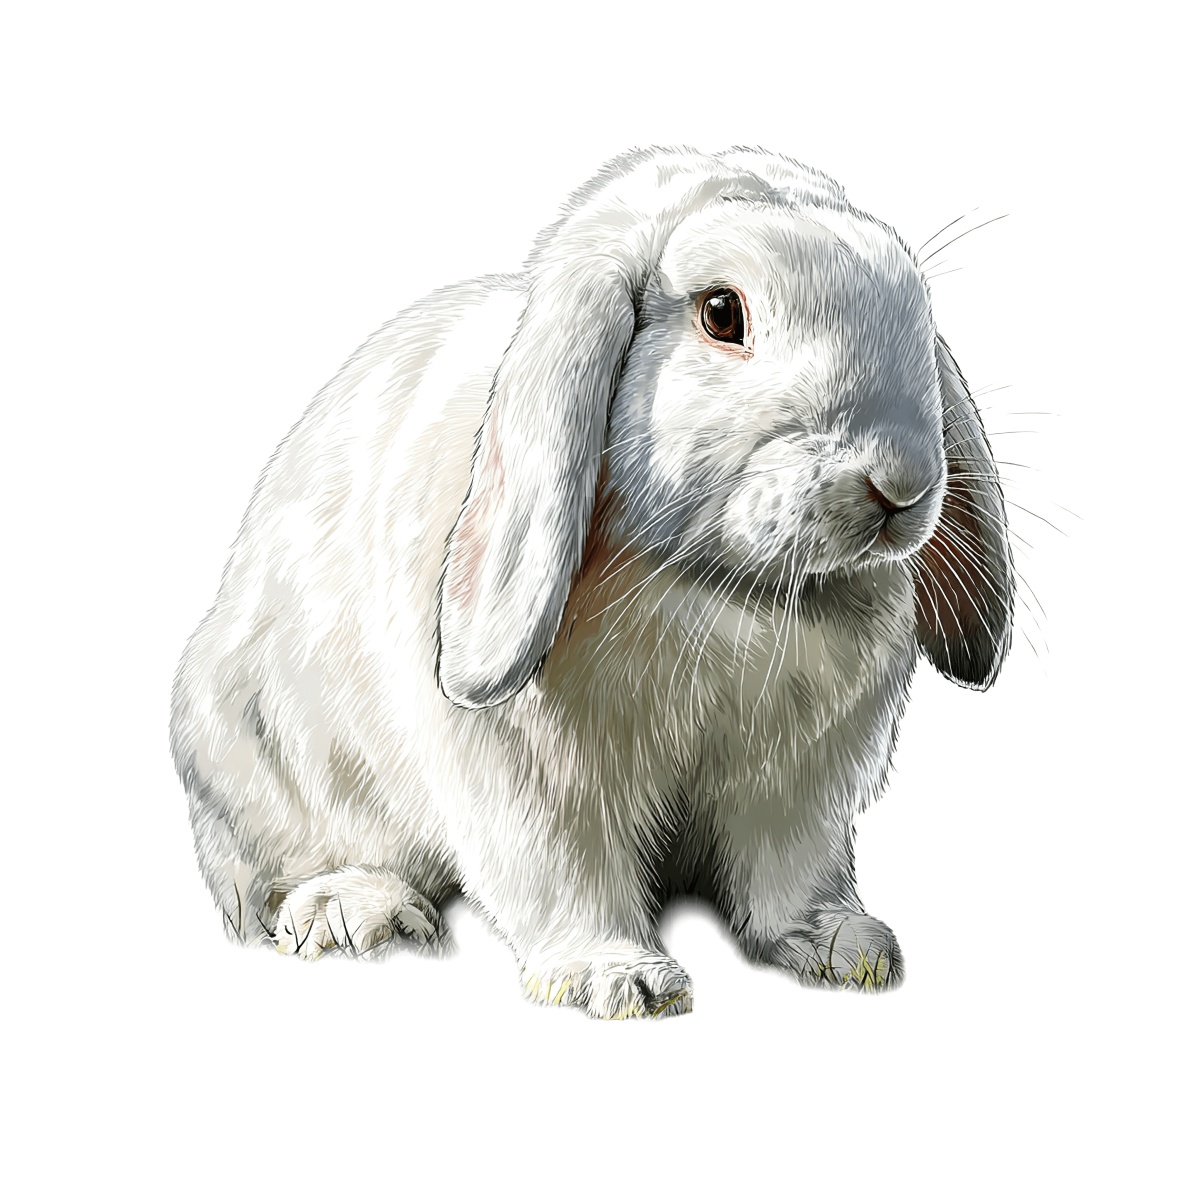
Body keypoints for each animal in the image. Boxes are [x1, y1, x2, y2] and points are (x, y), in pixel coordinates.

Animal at [170, 145, 1013, 1019]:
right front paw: (622, 981)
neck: (720, 584)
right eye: (722, 314)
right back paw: (356, 915)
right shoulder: (534, 782)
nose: (902, 483)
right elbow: (563, 872)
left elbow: (790, 869)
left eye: (913, 302)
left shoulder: (797, 783)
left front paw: (844, 949)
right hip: (253, 752)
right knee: (283, 872)